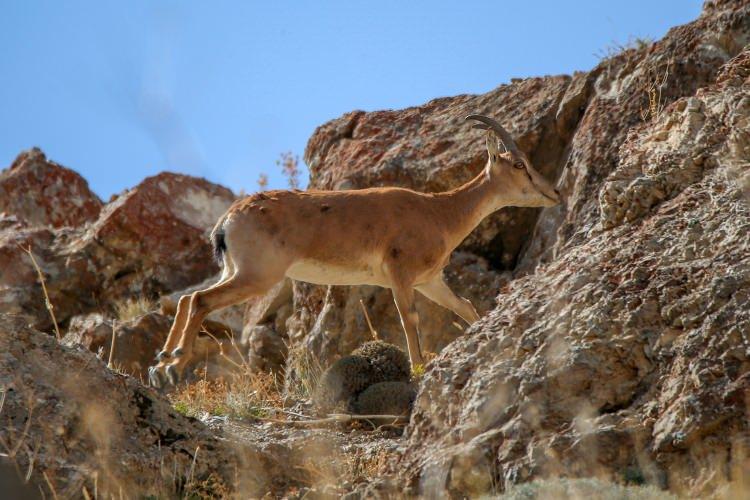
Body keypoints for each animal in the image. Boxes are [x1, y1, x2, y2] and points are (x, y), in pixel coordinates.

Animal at [150, 114, 560, 386]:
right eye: (519, 163)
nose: (554, 192)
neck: (439, 212)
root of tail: (227, 221)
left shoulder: (431, 281)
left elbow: (467, 308)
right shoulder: (400, 275)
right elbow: (408, 319)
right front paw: (417, 370)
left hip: (235, 271)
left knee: (187, 299)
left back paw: (160, 363)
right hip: (257, 276)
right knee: (200, 300)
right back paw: (173, 366)